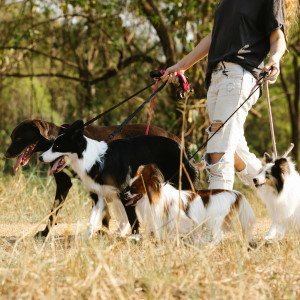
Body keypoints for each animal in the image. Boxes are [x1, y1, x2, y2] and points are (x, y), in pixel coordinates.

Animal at [5, 119, 180, 237]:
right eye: (12, 137)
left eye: (19, 138)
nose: (6, 154)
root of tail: (173, 137)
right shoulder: (76, 183)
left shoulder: (71, 184)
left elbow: (54, 211)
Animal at [124, 164, 255, 244]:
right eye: (128, 188)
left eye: (134, 189)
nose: (124, 195)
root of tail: (235, 193)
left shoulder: (186, 220)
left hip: (215, 220)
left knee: (217, 236)